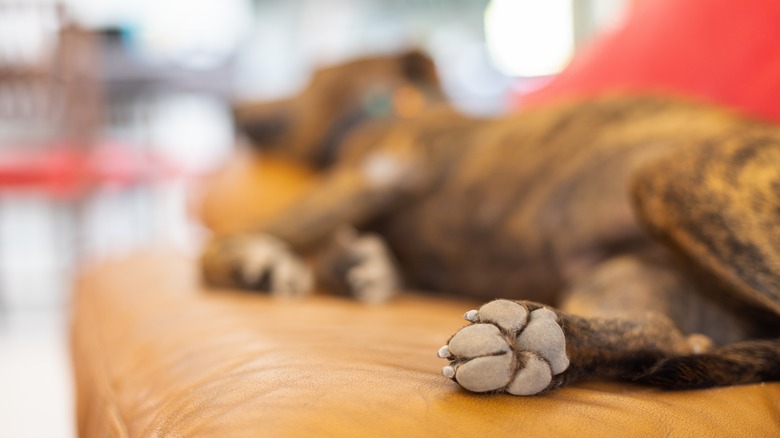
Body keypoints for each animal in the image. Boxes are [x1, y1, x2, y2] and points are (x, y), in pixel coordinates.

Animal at [203, 49, 780, 396]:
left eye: (308, 77)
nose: (234, 108)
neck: (393, 108)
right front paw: (351, 265)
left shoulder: (375, 175)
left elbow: (235, 241)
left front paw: (248, 262)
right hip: (626, 274)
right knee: (665, 332)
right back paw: (536, 344)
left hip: (671, 179)